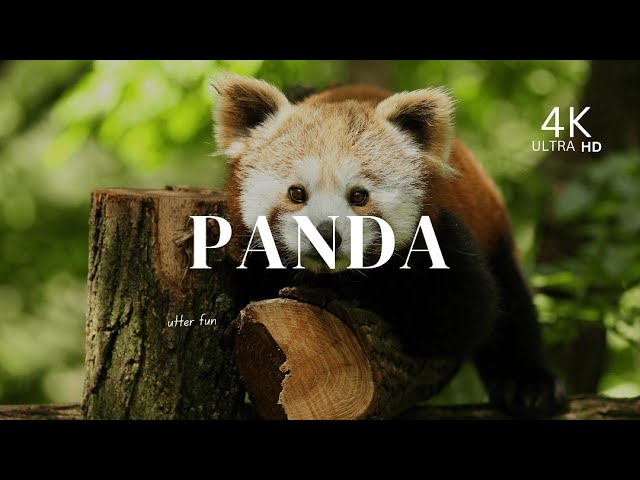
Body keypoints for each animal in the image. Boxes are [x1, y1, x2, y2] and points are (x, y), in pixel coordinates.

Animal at [213, 74, 568, 418]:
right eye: (297, 193)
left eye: (359, 196)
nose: (326, 235)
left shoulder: (444, 239)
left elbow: (463, 315)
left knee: (512, 301)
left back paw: (527, 386)